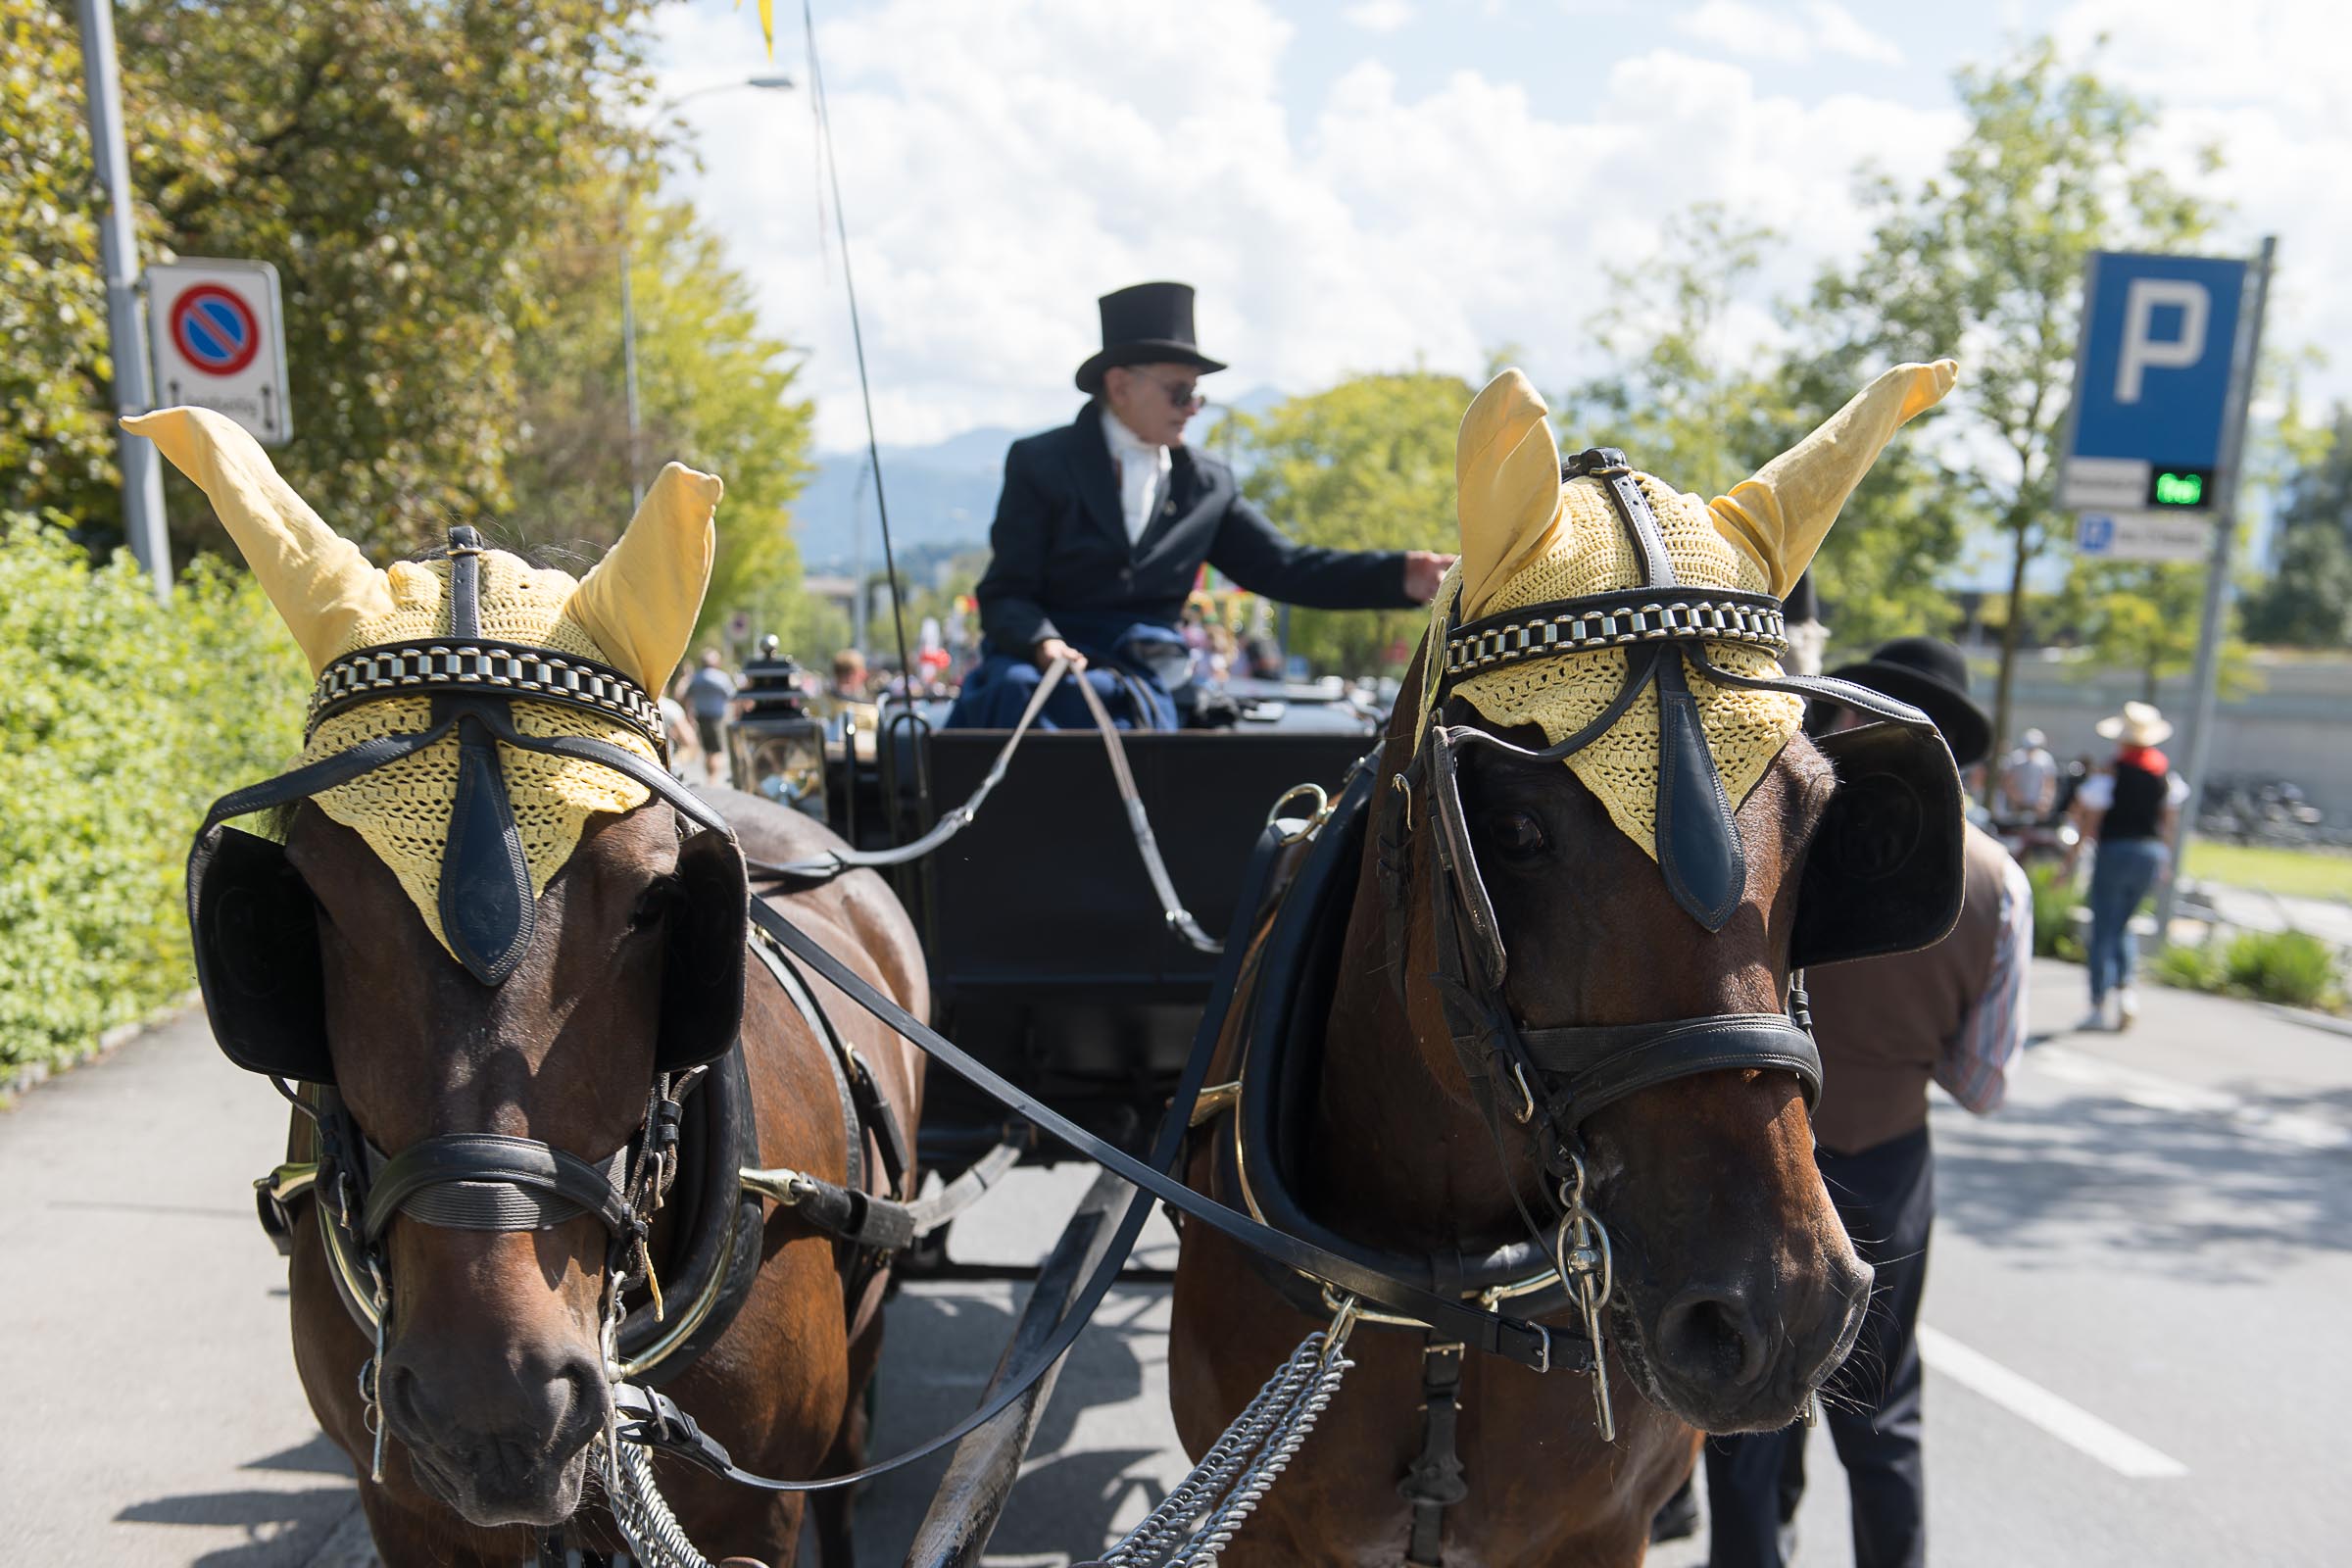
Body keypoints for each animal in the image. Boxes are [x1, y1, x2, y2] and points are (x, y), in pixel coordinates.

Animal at [1166, 362, 1956, 1560]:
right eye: (1515, 829)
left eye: (1820, 818)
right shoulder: (1267, 1533)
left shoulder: (1594, 1531)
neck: (1448, 1296)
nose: (1781, 1311)